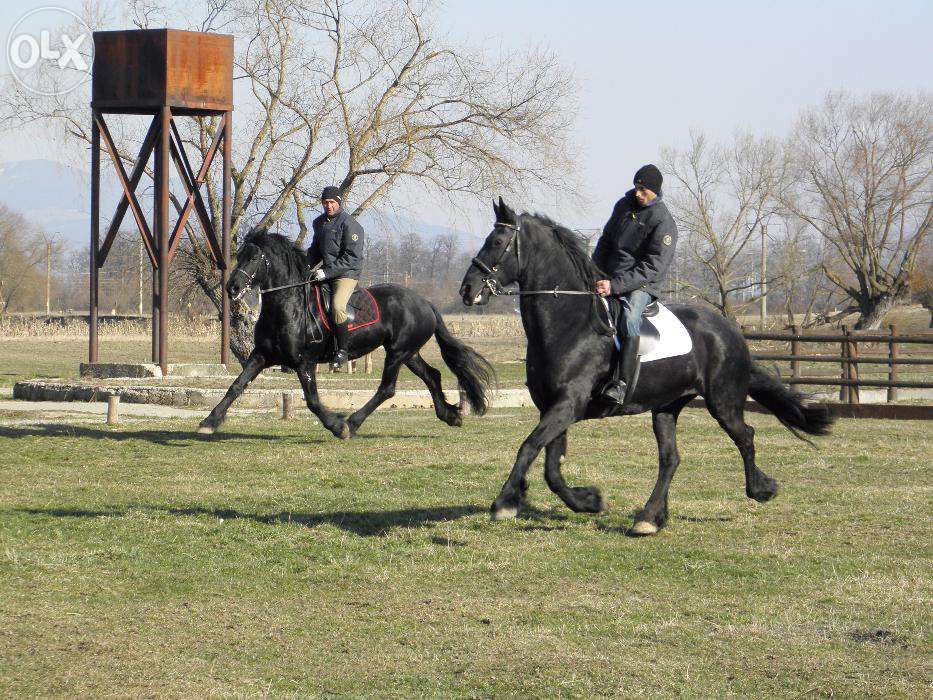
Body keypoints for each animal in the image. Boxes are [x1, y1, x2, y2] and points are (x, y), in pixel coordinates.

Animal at [198, 232, 496, 438]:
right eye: (239, 255)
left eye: (254, 258)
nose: (232, 288)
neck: (287, 305)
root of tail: (425, 303)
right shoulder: (261, 355)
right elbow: (236, 386)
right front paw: (209, 423)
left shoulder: (304, 363)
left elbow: (313, 401)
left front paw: (337, 425)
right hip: (408, 353)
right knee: (432, 376)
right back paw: (450, 415)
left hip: (397, 353)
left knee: (387, 389)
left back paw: (352, 423)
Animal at [458, 198, 832, 536]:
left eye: (496, 242)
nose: (467, 290)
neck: (570, 323)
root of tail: (730, 330)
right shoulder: (553, 407)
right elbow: (551, 466)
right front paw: (588, 501)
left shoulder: (568, 405)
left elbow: (530, 447)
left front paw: (505, 503)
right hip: (666, 407)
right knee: (670, 459)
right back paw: (651, 518)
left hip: (722, 401)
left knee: (745, 436)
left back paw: (760, 489)